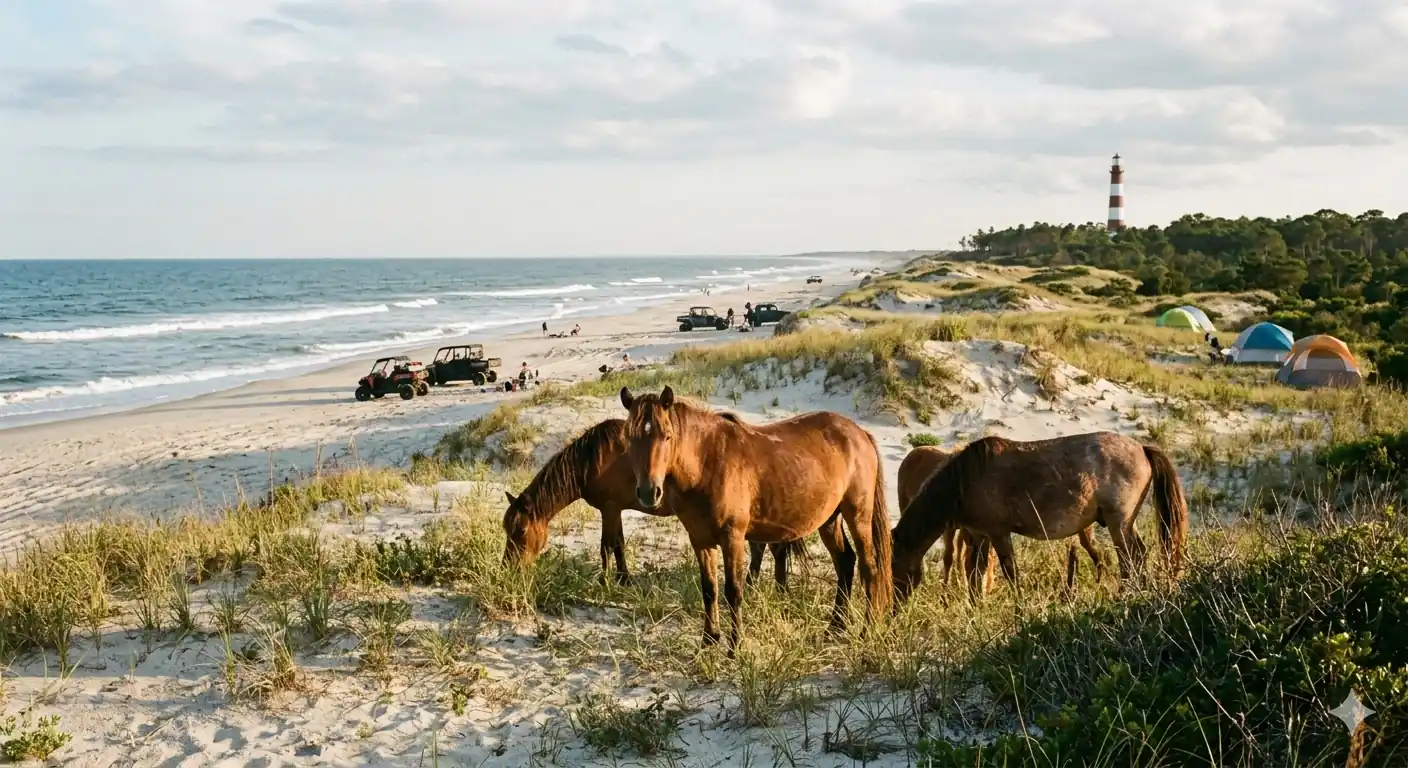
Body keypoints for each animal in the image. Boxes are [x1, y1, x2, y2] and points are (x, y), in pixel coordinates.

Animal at [501, 418, 798, 586]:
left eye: (521, 531)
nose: (508, 568)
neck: (592, 458)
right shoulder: (616, 510)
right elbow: (617, 545)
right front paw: (622, 579)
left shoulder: (609, 509)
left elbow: (607, 546)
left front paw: (607, 582)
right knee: (765, 548)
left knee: (773, 550)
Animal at [618, 386, 892, 653]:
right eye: (630, 438)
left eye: (667, 436)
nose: (649, 492)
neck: (707, 462)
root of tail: (859, 433)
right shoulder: (700, 539)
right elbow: (709, 589)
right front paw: (709, 640)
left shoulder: (733, 538)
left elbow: (733, 591)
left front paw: (735, 647)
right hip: (829, 520)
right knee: (845, 562)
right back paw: (835, 627)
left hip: (858, 516)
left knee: (869, 568)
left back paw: (867, 629)